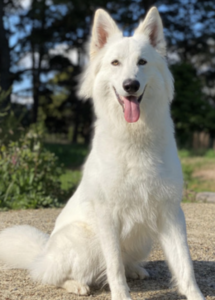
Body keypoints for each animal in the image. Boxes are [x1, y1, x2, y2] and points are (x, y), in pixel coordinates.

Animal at [0, 7, 205, 300]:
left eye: (142, 62)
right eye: (115, 63)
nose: (130, 85)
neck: (134, 138)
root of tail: (42, 254)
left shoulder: (171, 213)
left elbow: (185, 264)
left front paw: (195, 295)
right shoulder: (108, 217)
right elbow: (114, 267)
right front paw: (121, 294)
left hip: (142, 239)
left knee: (124, 261)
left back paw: (136, 270)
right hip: (85, 241)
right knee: (49, 275)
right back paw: (76, 284)